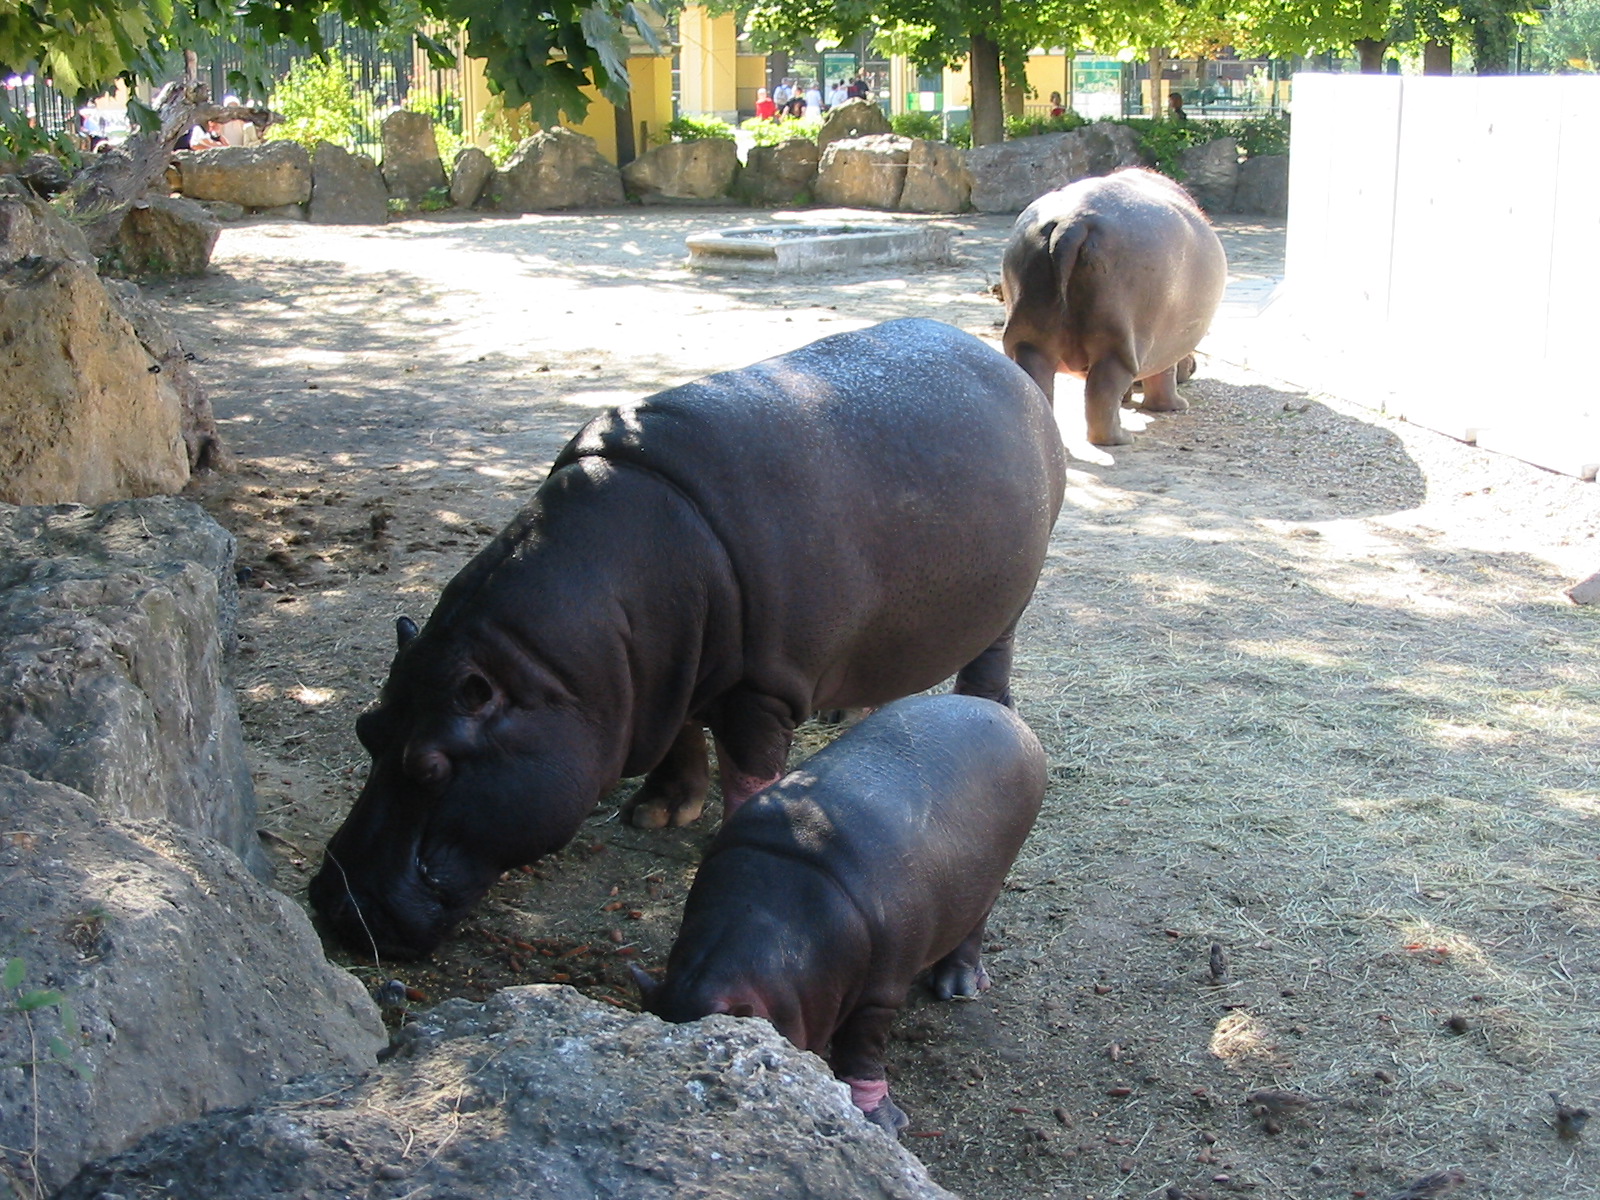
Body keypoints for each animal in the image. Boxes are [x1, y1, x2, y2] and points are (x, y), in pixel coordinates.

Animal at [309, 318, 1066, 959]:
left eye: (431, 768)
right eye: (367, 727)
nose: (331, 908)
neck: (547, 670)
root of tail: (1005, 366)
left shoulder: (760, 688)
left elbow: (750, 770)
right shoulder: (659, 674)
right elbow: (678, 737)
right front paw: (656, 813)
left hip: (1012, 599)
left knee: (992, 658)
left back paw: (986, 706)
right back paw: (845, 713)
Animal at [635, 694, 1046, 1134]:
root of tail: (997, 711)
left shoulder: (879, 994)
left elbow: (859, 1053)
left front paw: (878, 1121)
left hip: (992, 877)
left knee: (974, 927)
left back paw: (958, 988)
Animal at [1000, 167, 1228, 447]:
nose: (1194, 366)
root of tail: (1072, 223)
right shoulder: (1166, 344)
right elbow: (1163, 376)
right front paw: (1176, 405)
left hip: (1030, 336)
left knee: (1039, 380)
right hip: (1117, 341)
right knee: (1104, 389)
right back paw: (1121, 438)